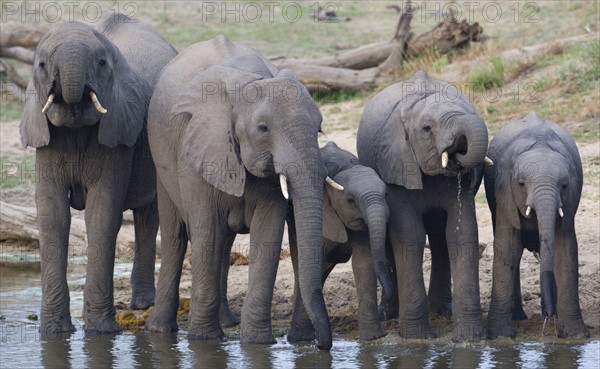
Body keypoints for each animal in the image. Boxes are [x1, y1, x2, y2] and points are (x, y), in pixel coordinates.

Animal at [19, 15, 178, 336]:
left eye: (102, 63)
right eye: (41, 65)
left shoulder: (117, 133)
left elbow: (101, 214)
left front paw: (101, 333)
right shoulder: (46, 138)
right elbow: (53, 215)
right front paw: (53, 333)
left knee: (147, 216)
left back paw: (143, 304)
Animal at [144, 36, 336, 350]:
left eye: (319, 129)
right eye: (263, 128)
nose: (321, 346)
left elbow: (267, 235)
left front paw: (257, 342)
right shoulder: (196, 148)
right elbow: (206, 232)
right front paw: (204, 340)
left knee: (224, 240)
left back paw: (227, 323)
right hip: (161, 157)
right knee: (177, 235)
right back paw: (160, 330)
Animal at [284, 141, 392, 340]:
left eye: (386, 195)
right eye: (351, 201)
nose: (388, 297)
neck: (346, 167)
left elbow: (364, 264)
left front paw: (373, 338)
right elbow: (315, 264)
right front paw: (303, 339)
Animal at [356, 70, 488, 340]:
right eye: (427, 129)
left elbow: (461, 234)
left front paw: (470, 339)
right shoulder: (396, 165)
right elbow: (410, 236)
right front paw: (417, 337)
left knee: (439, 240)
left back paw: (442, 313)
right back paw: (391, 316)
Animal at [482, 113, 592, 340]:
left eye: (564, 185)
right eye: (521, 184)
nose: (549, 316)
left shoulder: (570, 199)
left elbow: (565, 248)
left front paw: (575, 336)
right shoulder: (504, 193)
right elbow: (507, 247)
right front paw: (501, 336)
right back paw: (519, 317)